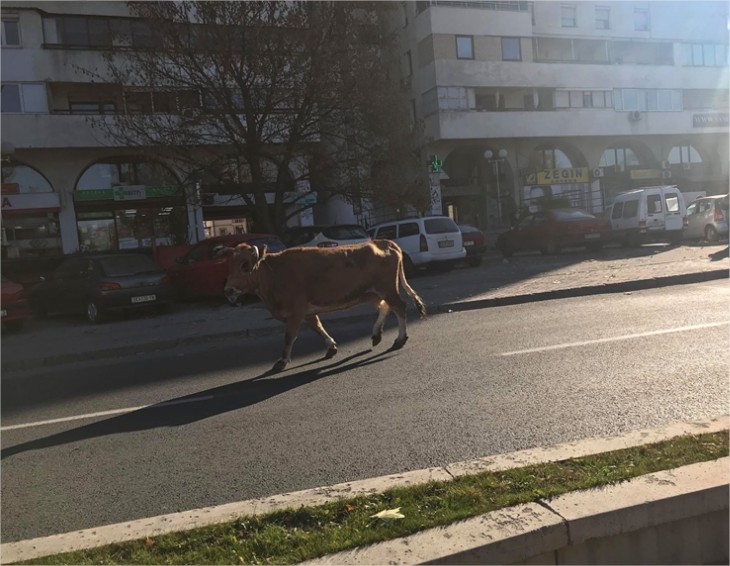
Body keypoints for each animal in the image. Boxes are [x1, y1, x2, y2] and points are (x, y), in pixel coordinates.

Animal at [223, 240, 426, 372]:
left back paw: (400, 338)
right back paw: (376, 335)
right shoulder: (306, 311)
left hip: (387, 289)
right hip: (372, 293)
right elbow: (318, 327)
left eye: (245, 266)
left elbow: (289, 337)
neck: (274, 274)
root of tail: (385, 242)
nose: (228, 290)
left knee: (399, 307)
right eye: (230, 265)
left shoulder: (296, 310)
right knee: (385, 307)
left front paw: (282, 360)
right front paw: (331, 346)